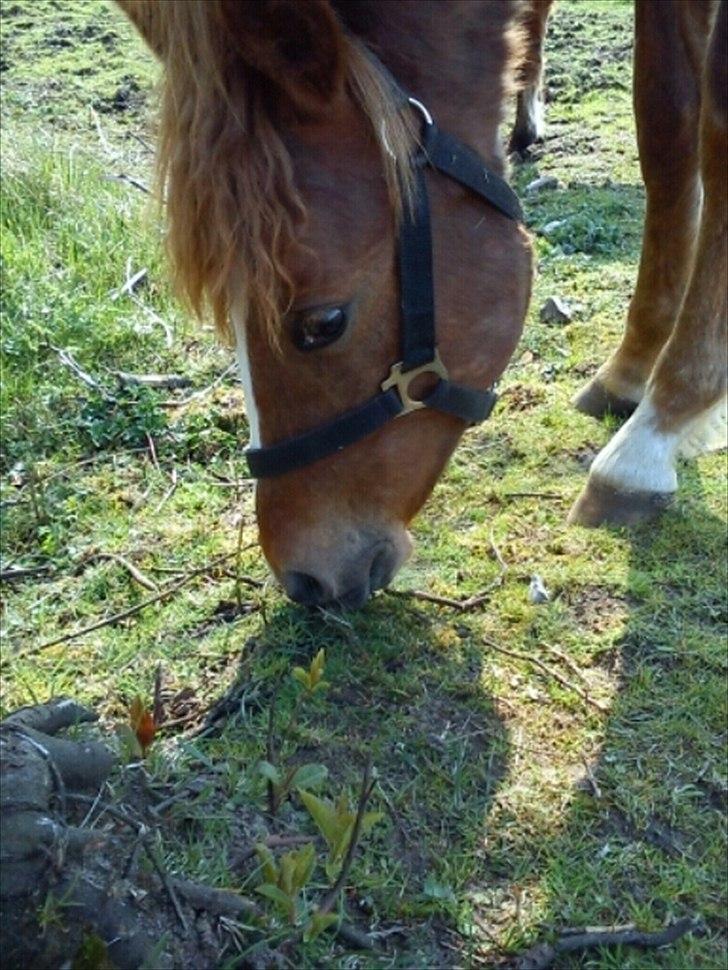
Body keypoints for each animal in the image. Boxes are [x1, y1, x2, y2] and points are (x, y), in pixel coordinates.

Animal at [116, 0, 724, 604]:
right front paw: (629, 370)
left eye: (324, 322)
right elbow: (666, 138)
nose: (303, 580)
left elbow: (703, 133)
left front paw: (647, 443)